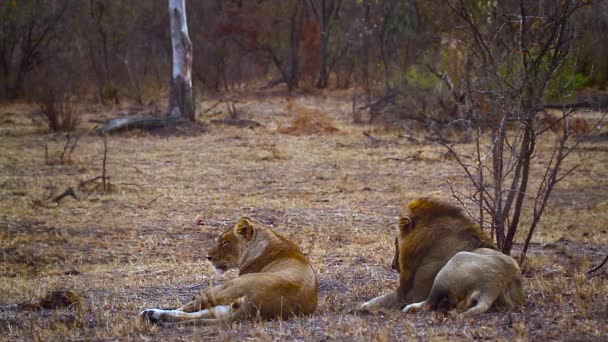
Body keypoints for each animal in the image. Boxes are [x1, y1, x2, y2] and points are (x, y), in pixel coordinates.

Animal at [139, 218, 318, 324]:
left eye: (225, 242)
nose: (208, 257)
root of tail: (256, 302)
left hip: (225, 288)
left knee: (189, 308)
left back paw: (150, 313)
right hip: (225, 308)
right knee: (196, 314)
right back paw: (152, 315)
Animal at [360, 198, 494, 312]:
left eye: (396, 242)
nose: (392, 265)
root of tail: (488, 288)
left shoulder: (410, 294)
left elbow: (381, 300)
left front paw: (364, 305)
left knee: (428, 303)